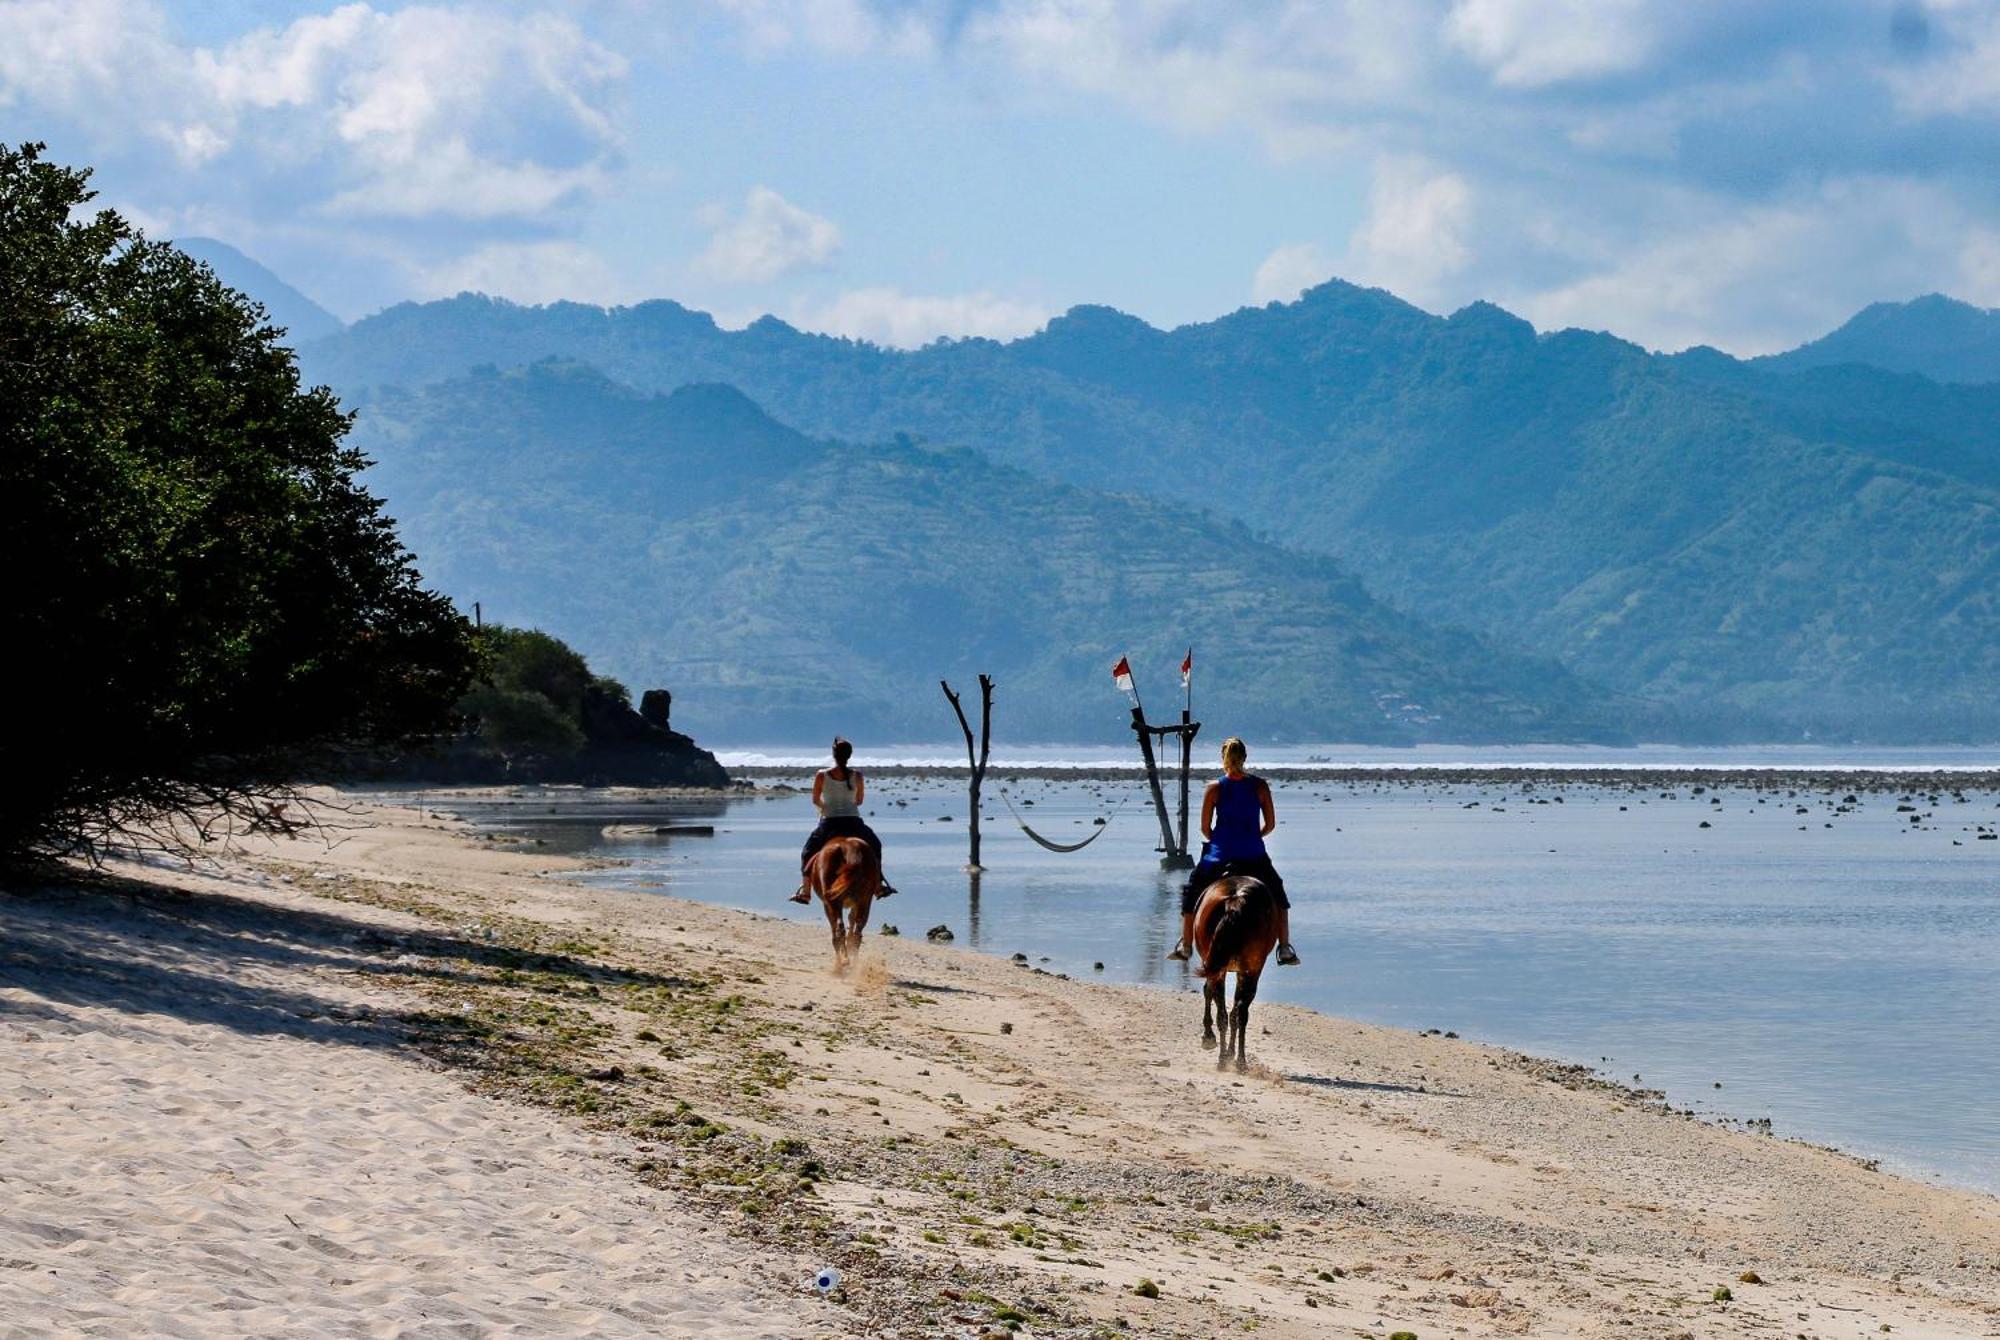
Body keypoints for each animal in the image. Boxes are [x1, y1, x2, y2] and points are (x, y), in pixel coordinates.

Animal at [808, 836, 880, 972]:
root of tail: (849, 847)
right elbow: (851, 922)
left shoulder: (827, 905)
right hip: (865, 900)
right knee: (857, 931)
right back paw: (853, 962)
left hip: (834, 902)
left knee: (839, 928)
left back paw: (842, 962)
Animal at [1184, 876, 1280, 1080]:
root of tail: (1235, 901)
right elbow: (1233, 1010)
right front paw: (1229, 1052)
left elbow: (1210, 994)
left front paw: (1209, 1038)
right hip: (1251, 967)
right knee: (1239, 1012)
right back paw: (1239, 1062)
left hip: (1229, 968)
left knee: (1225, 1010)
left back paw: (1224, 1058)